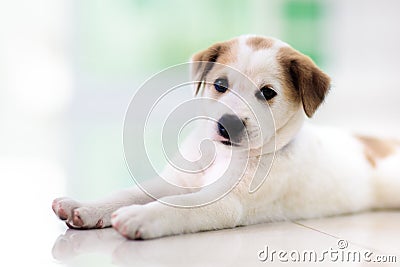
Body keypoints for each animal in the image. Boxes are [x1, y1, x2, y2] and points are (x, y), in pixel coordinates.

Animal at [51, 36, 398, 241]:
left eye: (267, 93)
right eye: (220, 85)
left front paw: (142, 215)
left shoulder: (225, 203)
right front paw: (87, 207)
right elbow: (129, 193)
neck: (222, 155)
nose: (227, 125)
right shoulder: (175, 182)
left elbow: (179, 206)